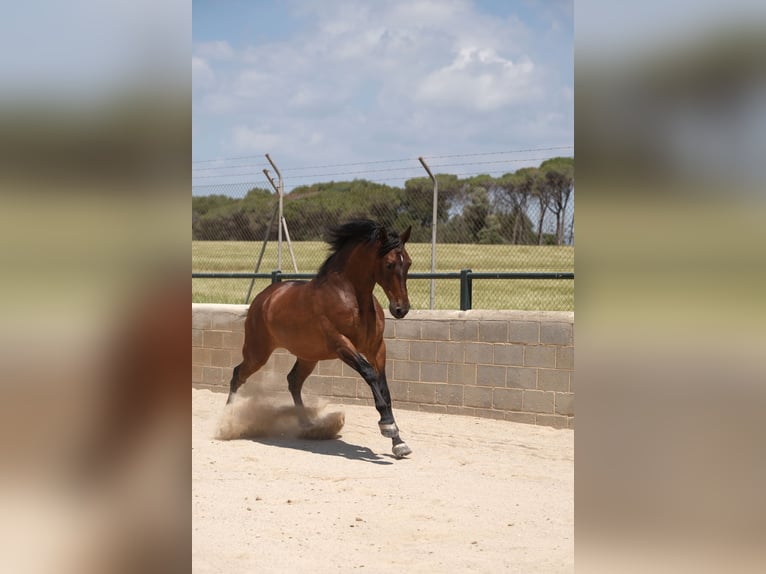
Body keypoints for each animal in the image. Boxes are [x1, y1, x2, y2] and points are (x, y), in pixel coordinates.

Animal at [228, 219, 414, 460]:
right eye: (390, 264)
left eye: (408, 263)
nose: (401, 309)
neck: (353, 299)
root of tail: (264, 297)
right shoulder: (342, 345)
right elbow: (369, 374)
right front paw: (388, 426)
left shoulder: (376, 348)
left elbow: (384, 388)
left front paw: (398, 442)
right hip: (257, 352)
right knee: (238, 375)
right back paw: (227, 419)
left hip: (308, 356)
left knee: (293, 381)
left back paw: (307, 425)